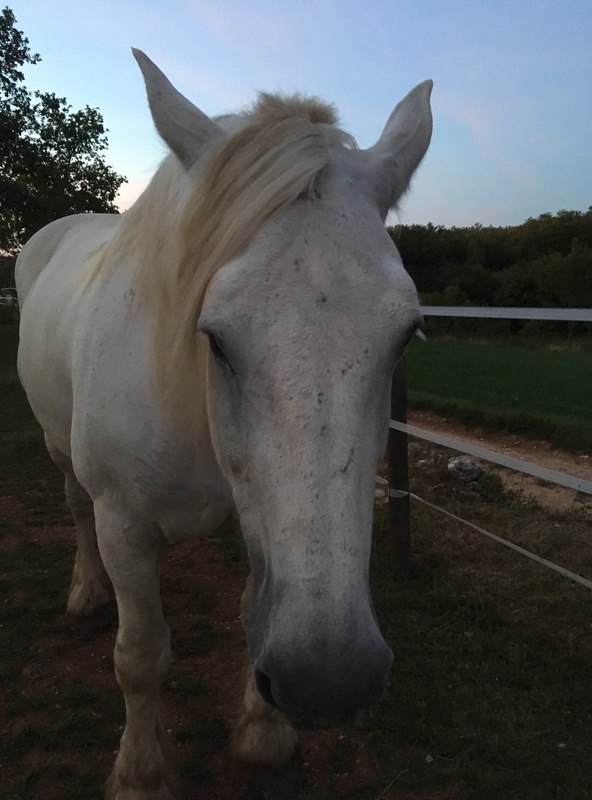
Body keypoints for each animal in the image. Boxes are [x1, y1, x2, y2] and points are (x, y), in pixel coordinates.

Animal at [13, 51, 430, 800]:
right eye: (215, 337)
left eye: (406, 335)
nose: (328, 680)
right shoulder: (123, 524)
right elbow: (140, 655)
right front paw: (140, 775)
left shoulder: (257, 523)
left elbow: (250, 610)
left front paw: (264, 733)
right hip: (62, 452)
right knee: (74, 507)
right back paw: (87, 593)